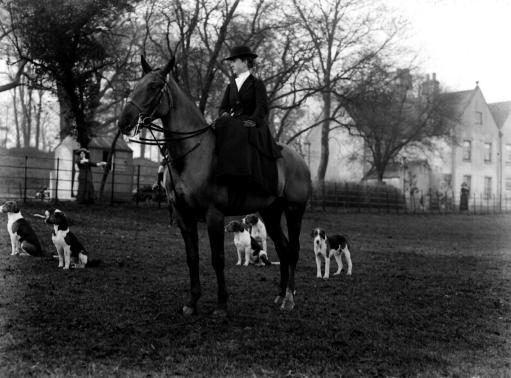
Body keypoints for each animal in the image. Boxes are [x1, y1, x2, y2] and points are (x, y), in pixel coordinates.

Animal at [118, 55, 312, 316]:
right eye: (136, 85)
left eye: (154, 86)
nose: (124, 121)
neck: (192, 154)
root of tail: (299, 159)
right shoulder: (184, 216)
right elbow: (192, 258)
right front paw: (192, 302)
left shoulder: (214, 215)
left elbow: (217, 258)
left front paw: (221, 305)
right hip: (271, 212)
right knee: (282, 248)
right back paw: (280, 295)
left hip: (293, 211)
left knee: (292, 251)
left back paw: (290, 298)